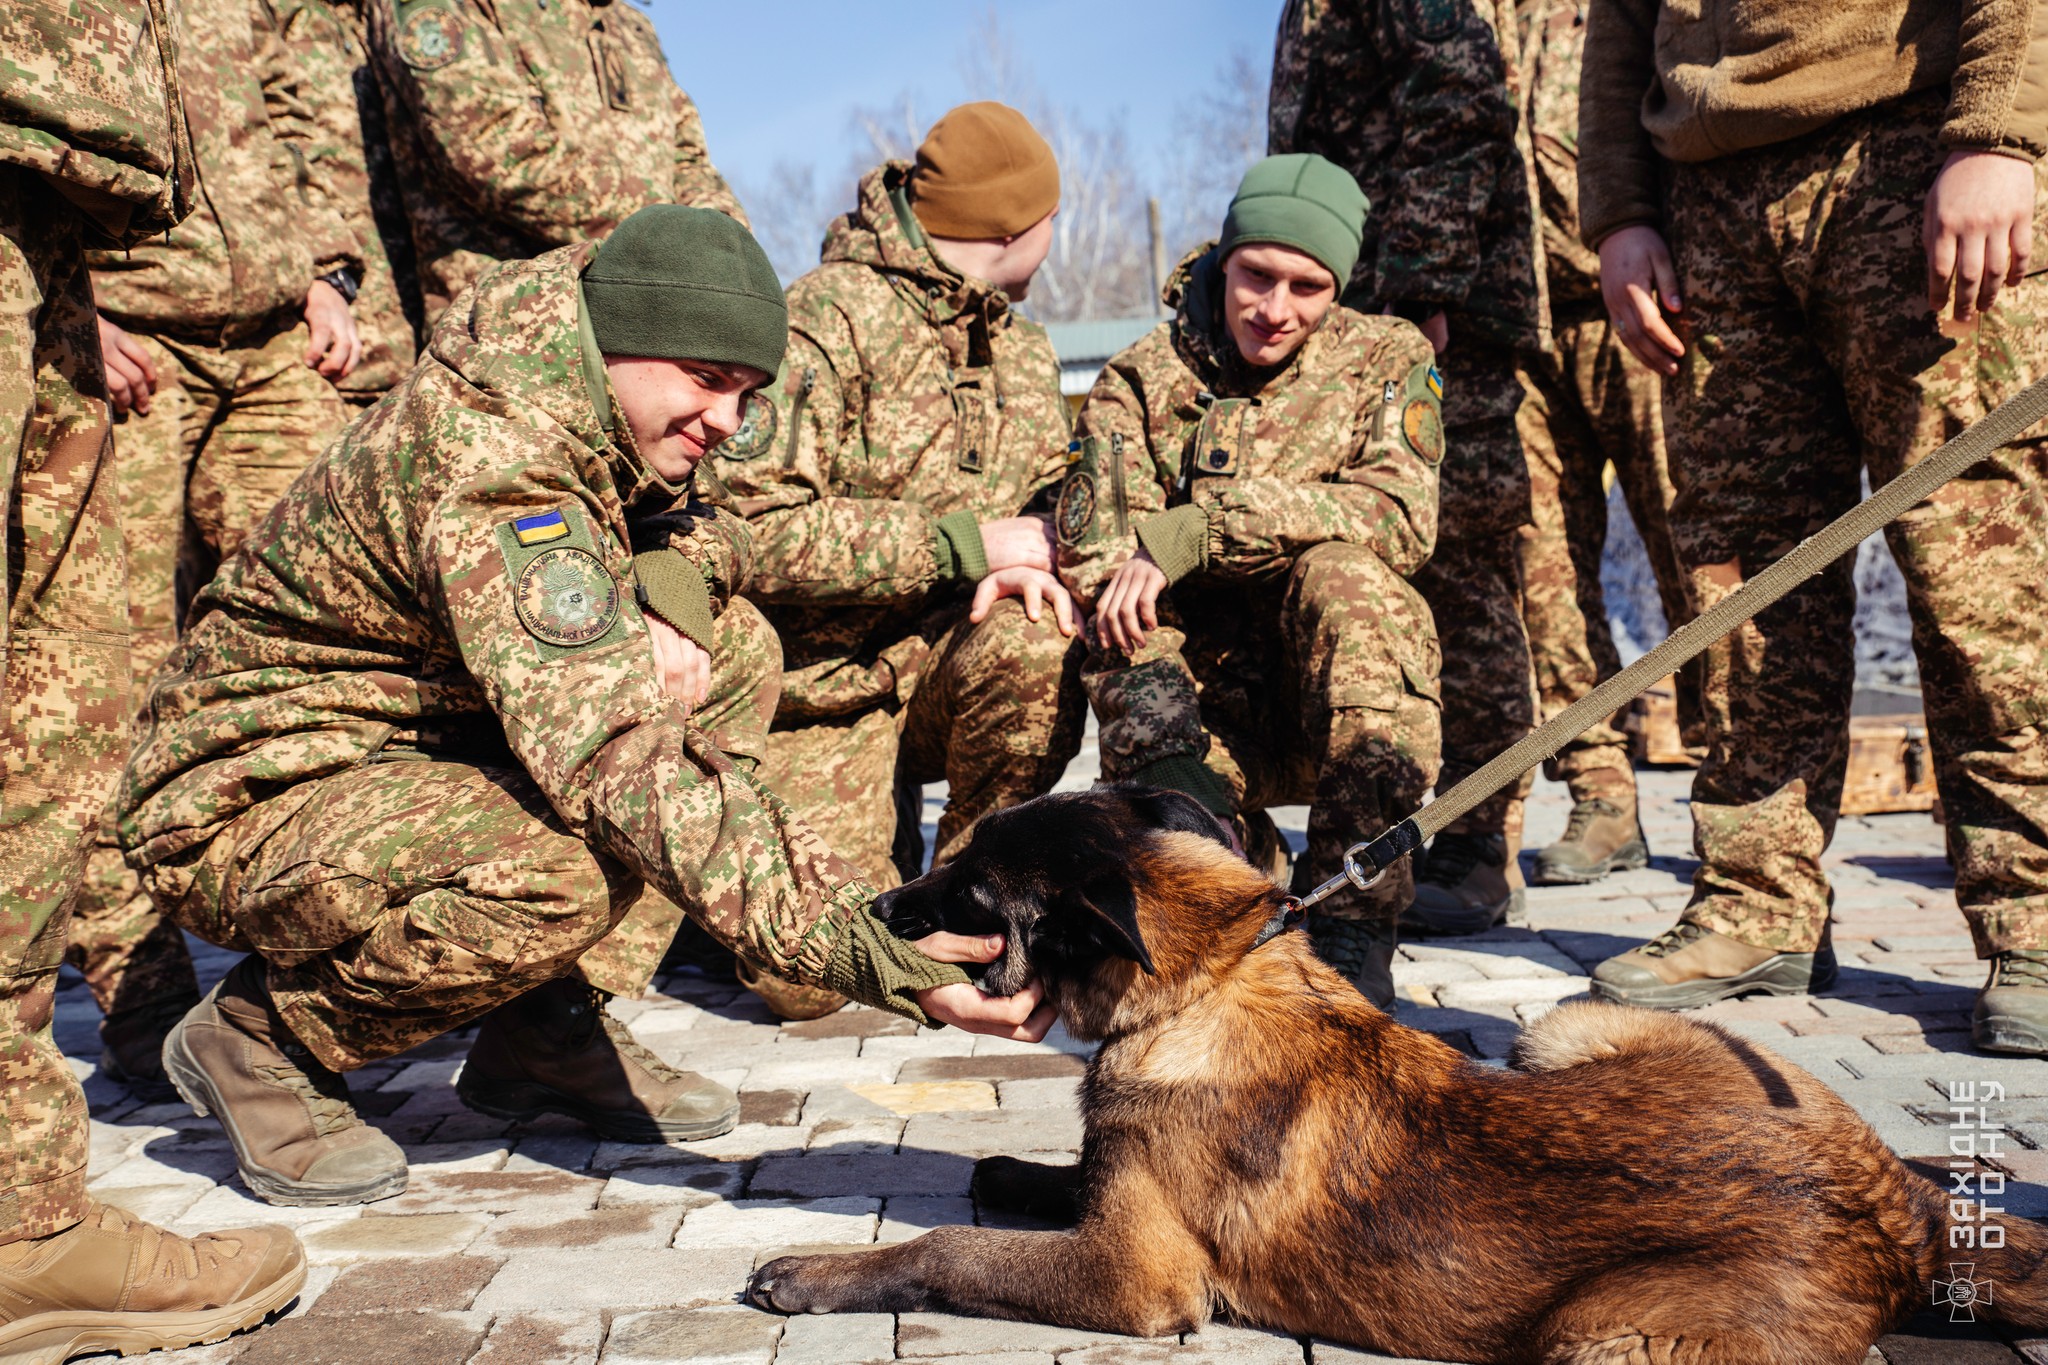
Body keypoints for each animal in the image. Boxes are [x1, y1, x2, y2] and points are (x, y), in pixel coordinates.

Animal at [749, 785, 2048, 1358]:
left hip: (1599, 1335)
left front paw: (814, 1271)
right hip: (1567, 1031)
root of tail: (1893, 1215)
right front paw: (1020, 1168)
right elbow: (1044, 1176)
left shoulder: (1134, 1281)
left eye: (965, 888)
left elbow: (944, 1248)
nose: (870, 910)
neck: (1206, 983)